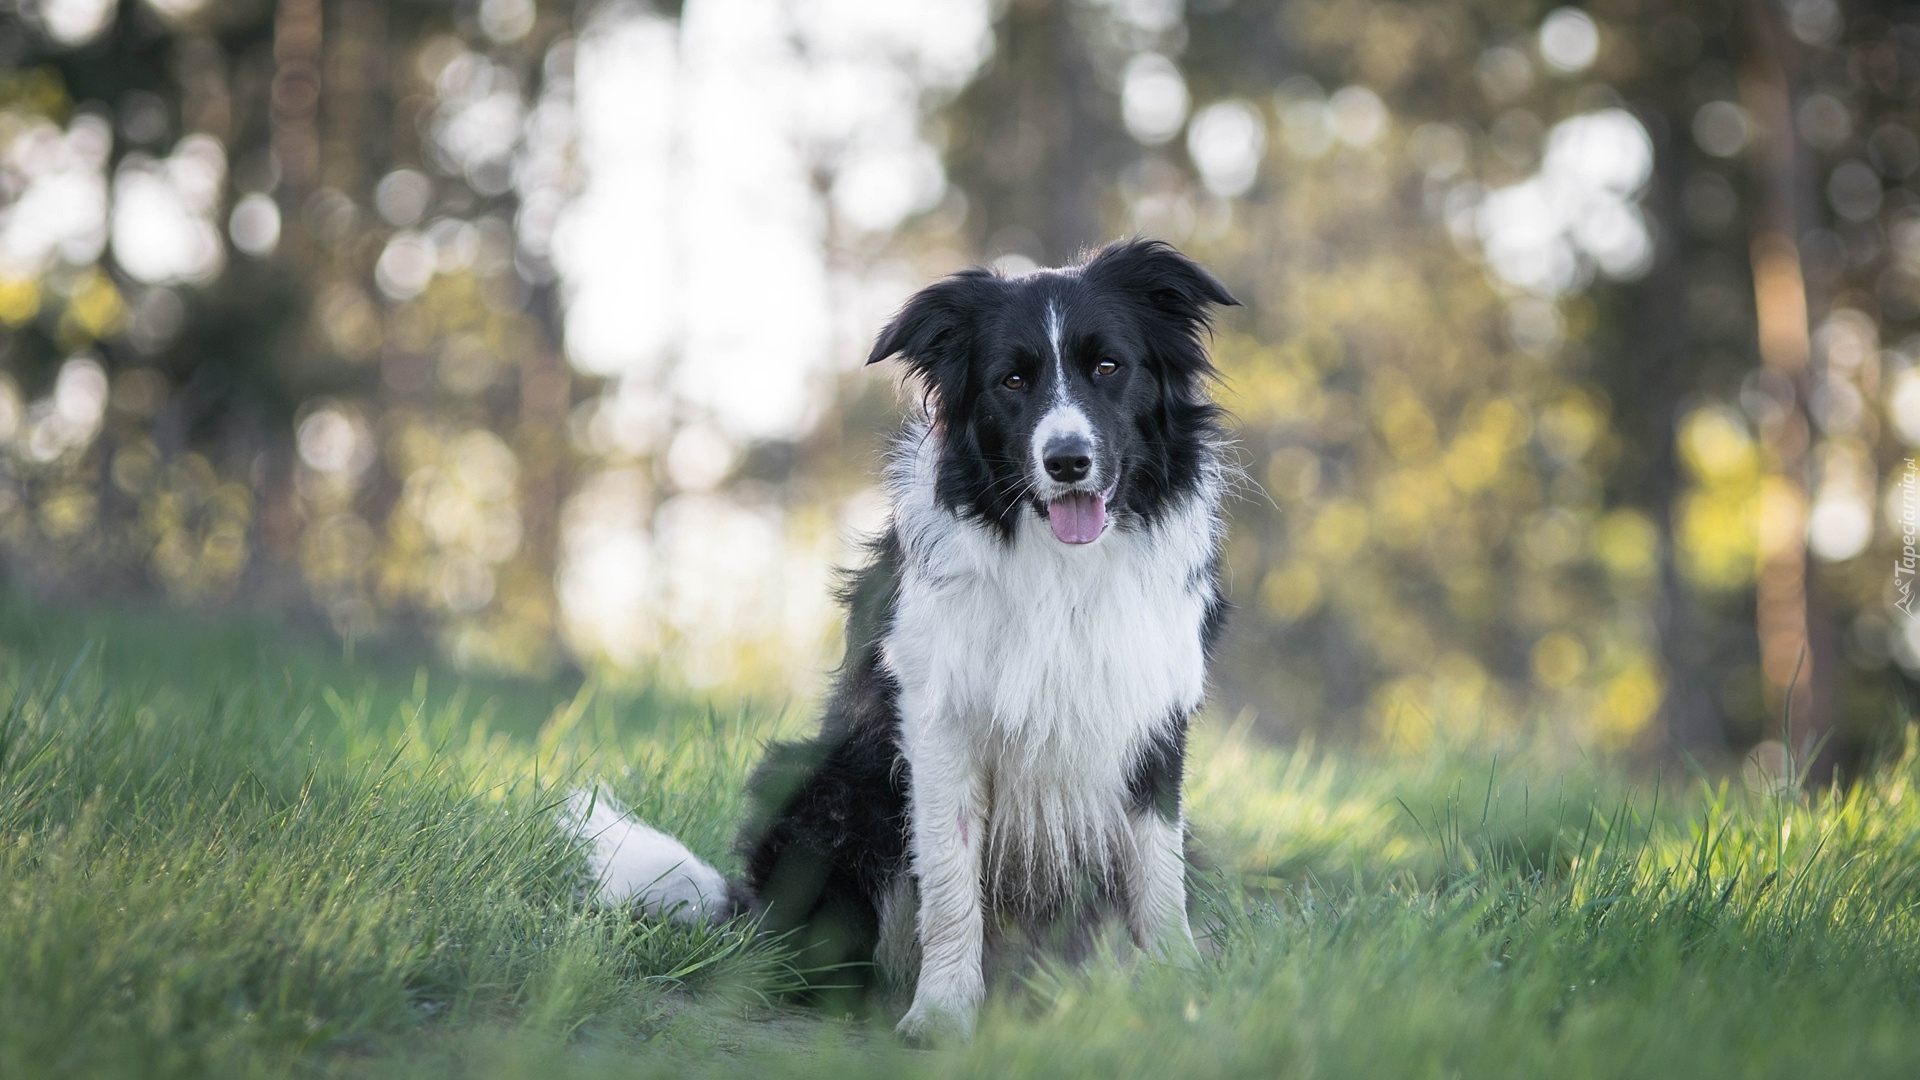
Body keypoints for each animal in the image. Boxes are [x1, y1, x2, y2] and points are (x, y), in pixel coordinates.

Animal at [560, 237, 1236, 1037]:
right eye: (1012, 379)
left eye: (1108, 366)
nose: (1066, 460)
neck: (1061, 565)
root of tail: (745, 913)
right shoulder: (937, 720)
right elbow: (949, 882)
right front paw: (941, 1013)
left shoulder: (1153, 721)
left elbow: (1159, 878)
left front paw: (1178, 991)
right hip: (822, 787)